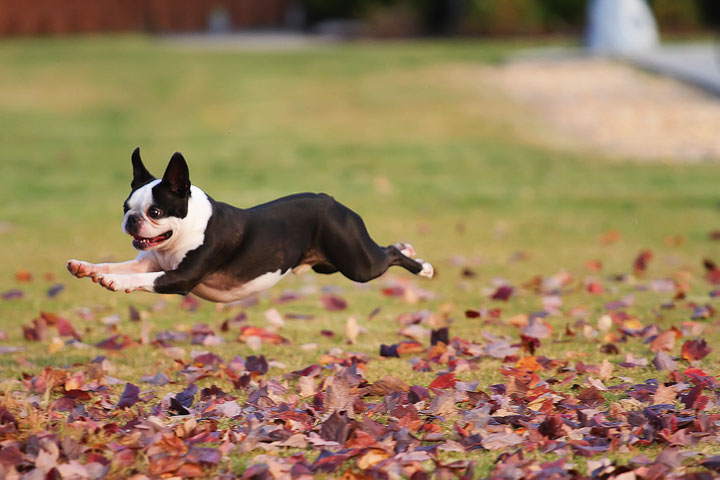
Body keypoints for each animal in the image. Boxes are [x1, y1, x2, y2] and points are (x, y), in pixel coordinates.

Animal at [67, 148, 436, 302]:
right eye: (126, 208)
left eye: (155, 212)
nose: (132, 221)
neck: (184, 233)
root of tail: (331, 200)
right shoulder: (150, 261)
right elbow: (121, 264)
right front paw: (88, 268)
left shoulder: (179, 277)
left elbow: (138, 279)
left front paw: (114, 282)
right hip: (329, 265)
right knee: (387, 250)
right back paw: (410, 248)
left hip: (357, 264)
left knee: (388, 254)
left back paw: (423, 266)